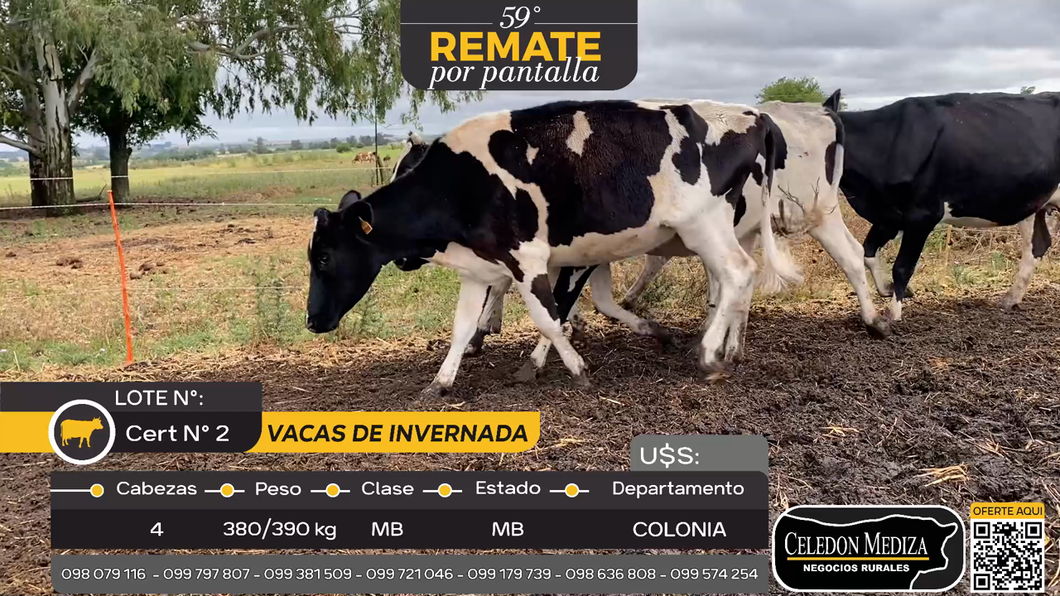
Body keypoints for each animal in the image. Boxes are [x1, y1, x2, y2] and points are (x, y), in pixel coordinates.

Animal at [306, 100, 800, 395]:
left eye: (325, 257)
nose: (312, 321)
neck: (459, 184)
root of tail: (750, 115)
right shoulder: (479, 267)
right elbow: (463, 326)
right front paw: (441, 381)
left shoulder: (529, 259)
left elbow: (549, 315)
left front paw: (572, 367)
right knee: (735, 282)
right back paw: (726, 349)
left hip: (706, 226)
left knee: (738, 274)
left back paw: (710, 353)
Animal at [831, 91, 1060, 321]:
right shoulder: (888, 217)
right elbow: (867, 252)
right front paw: (887, 289)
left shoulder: (922, 215)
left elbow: (902, 267)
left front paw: (893, 313)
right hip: (1035, 205)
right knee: (1037, 246)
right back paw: (1010, 299)